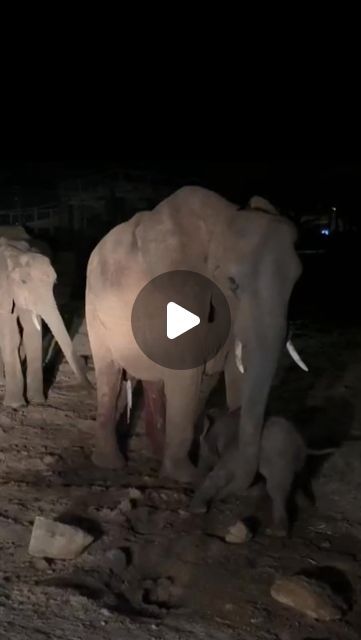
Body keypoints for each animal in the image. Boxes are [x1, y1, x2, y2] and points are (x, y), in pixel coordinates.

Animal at [0, 232, 89, 408]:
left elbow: (31, 334)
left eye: (54, 282)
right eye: (23, 282)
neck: (15, 254)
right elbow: (12, 335)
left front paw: (37, 402)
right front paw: (16, 405)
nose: (90, 388)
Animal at [85, 185, 300, 490]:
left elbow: (236, 371)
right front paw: (187, 476)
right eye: (233, 283)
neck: (225, 220)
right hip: (94, 310)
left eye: (296, 282)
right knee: (110, 374)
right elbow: (186, 373)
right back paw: (111, 463)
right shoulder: (177, 289)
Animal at [197, 410, 334, 536]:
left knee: (277, 489)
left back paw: (277, 531)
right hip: (296, 460)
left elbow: (223, 474)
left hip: (280, 459)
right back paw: (307, 504)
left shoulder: (236, 451)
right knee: (300, 477)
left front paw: (202, 506)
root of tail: (302, 444)